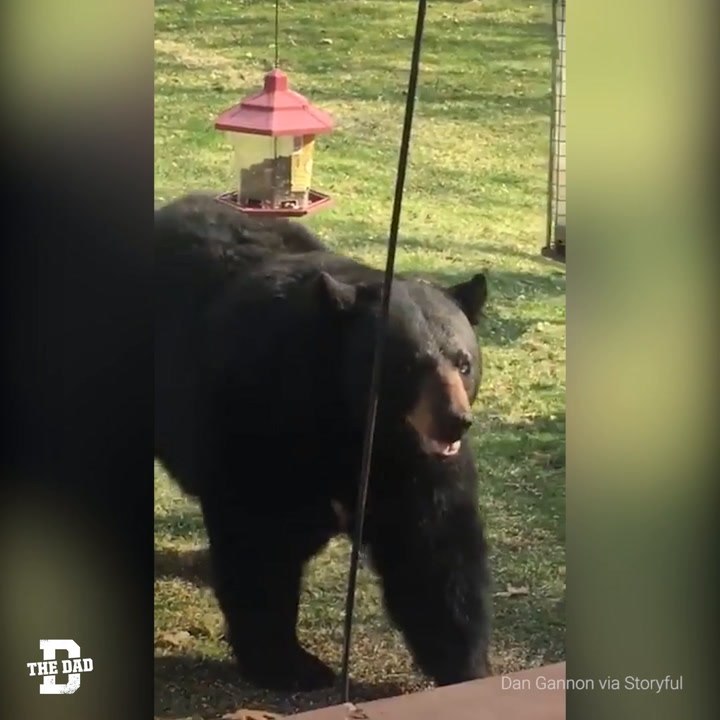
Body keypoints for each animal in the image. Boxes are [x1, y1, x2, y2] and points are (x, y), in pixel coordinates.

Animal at [155, 192, 492, 691]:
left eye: (464, 362)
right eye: (408, 365)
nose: (455, 422)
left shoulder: (415, 466)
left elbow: (435, 550)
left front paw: (467, 668)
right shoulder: (262, 411)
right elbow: (258, 538)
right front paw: (292, 664)